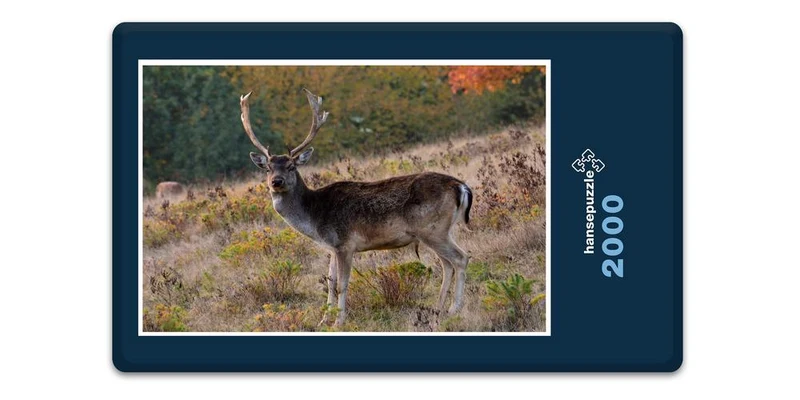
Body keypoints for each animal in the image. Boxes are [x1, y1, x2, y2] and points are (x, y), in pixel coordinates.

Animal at [240, 89, 473, 327]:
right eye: (267, 168)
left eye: (291, 166)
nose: (276, 182)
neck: (315, 218)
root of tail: (461, 186)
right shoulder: (332, 247)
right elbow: (330, 282)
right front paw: (324, 320)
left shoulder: (345, 243)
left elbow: (342, 284)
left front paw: (339, 321)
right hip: (439, 231)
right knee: (447, 264)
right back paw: (438, 309)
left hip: (432, 229)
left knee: (460, 258)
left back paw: (454, 309)